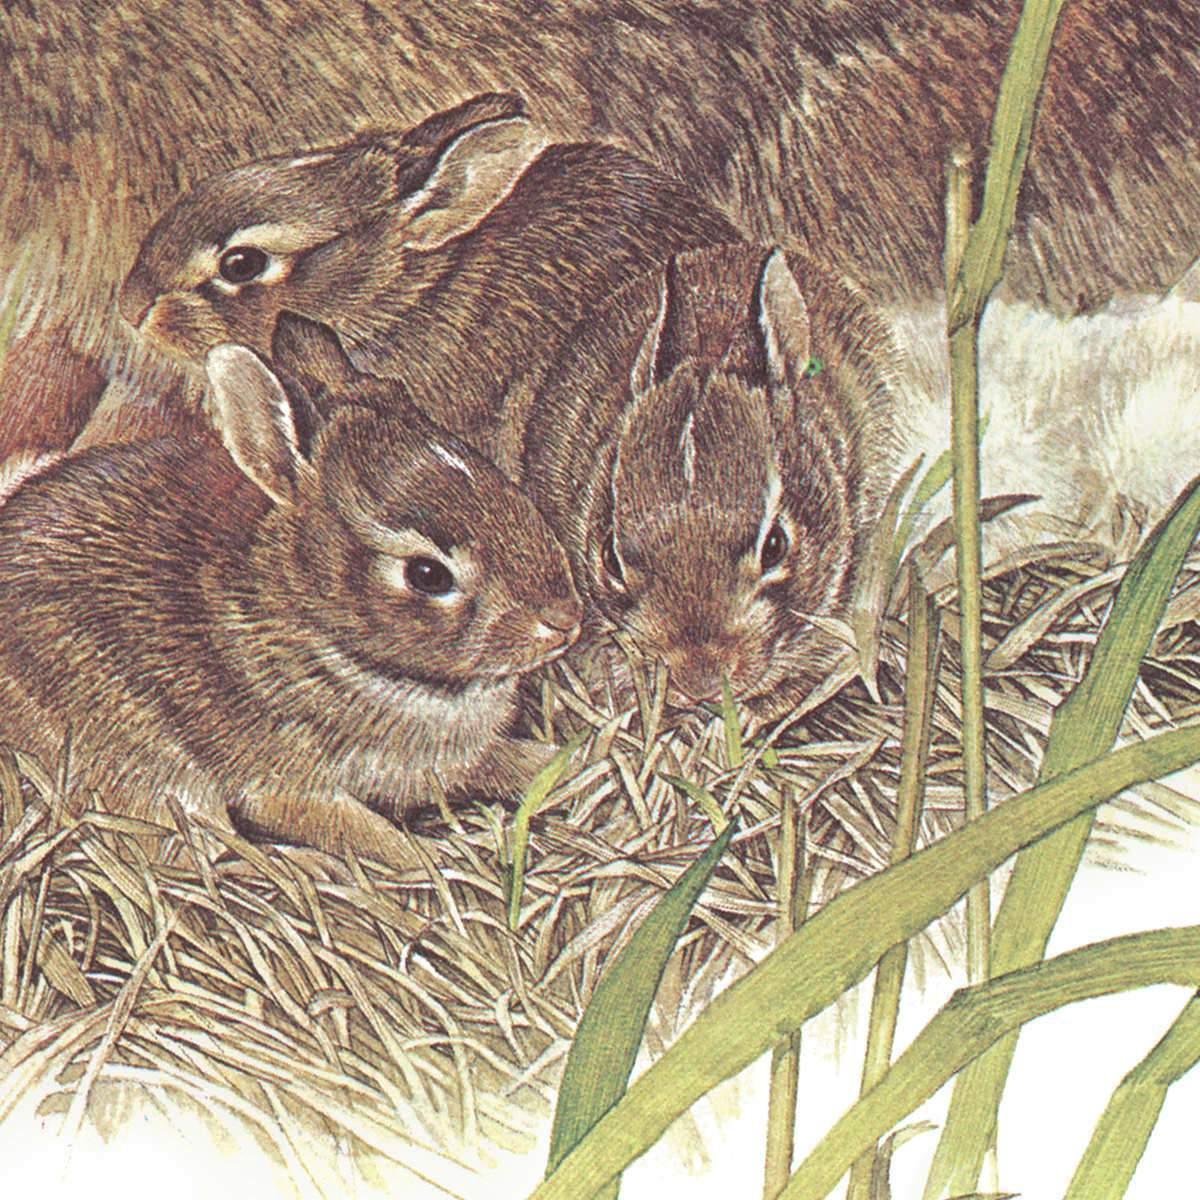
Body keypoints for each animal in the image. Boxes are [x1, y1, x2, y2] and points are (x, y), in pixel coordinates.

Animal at [0, 312, 582, 871]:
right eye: (427, 575)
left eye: (506, 486)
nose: (564, 621)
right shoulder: (289, 784)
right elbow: (368, 837)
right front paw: (430, 865)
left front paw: (575, 762)